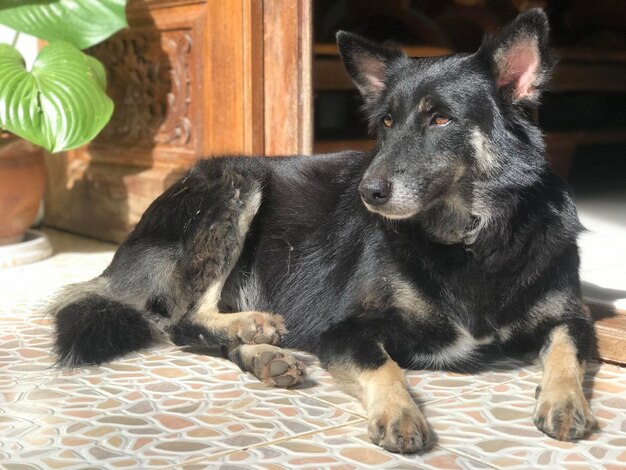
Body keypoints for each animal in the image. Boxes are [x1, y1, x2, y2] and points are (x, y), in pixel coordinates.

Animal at [50, 9, 596, 454]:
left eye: (441, 119)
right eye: (387, 123)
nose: (367, 191)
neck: (471, 240)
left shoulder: (571, 318)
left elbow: (566, 352)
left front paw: (567, 403)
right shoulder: (345, 329)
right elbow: (384, 367)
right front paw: (399, 413)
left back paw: (262, 352)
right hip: (237, 182)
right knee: (181, 320)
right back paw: (252, 327)